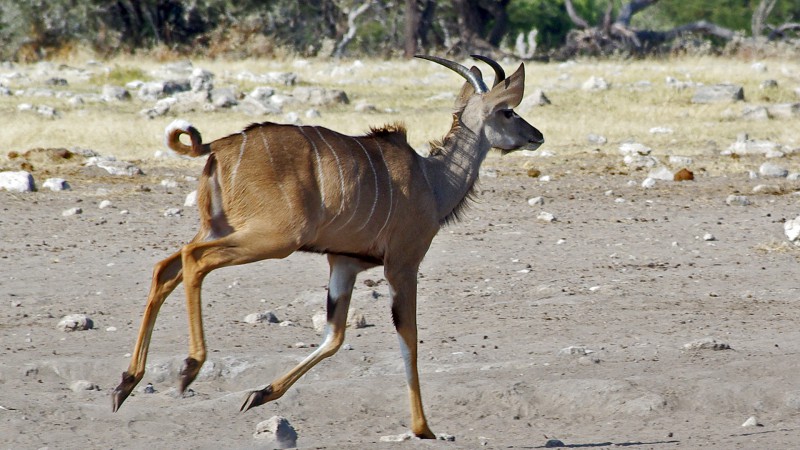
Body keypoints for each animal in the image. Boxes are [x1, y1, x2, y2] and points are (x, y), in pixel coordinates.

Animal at [111, 54, 544, 438]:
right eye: (508, 111)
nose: (536, 136)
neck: (432, 180)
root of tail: (217, 146)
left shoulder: (344, 263)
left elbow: (334, 337)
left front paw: (260, 394)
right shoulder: (402, 264)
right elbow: (409, 339)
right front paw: (424, 429)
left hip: (219, 229)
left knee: (166, 267)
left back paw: (126, 383)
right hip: (272, 238)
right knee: (193, 260)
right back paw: (188, 368)